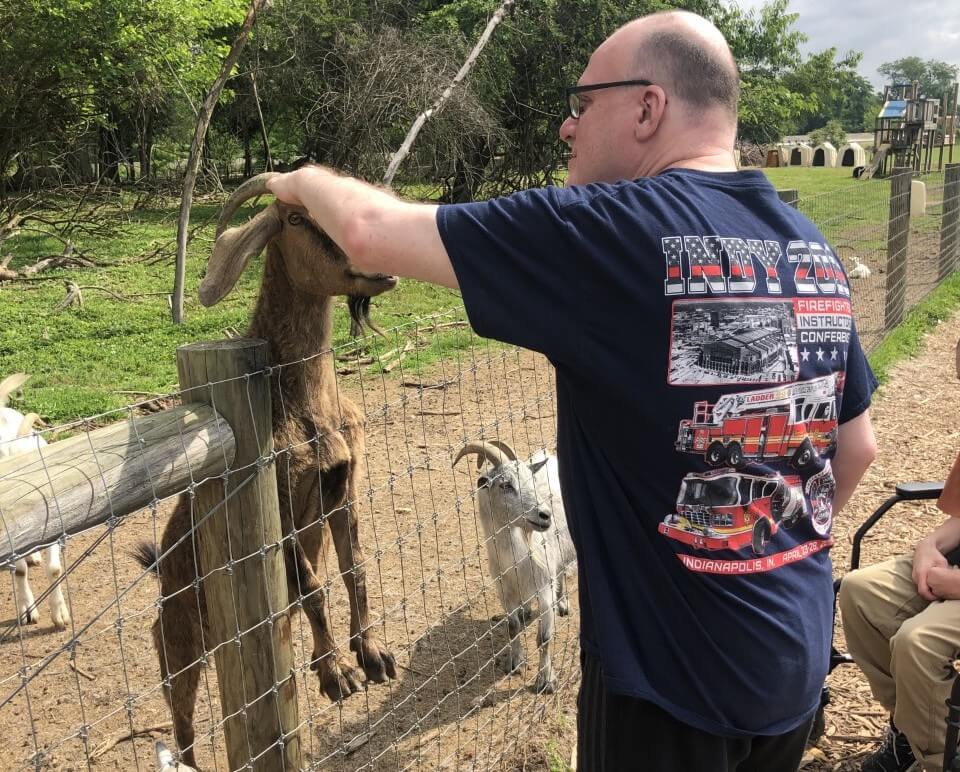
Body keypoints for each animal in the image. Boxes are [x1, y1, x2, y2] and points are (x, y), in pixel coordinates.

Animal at [135, 175, 398, 772]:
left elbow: (354, 569)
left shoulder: (344, 484)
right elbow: (313, 588)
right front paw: (337, 676)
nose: (378, 264)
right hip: (179, 643)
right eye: (296, 219)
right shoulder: (278, 494)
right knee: (182, 719)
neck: (306, 407)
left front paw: (371, 655)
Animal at [454, 440, 572, 692]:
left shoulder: (544, 588)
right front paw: (515, 662)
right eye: (505, 485)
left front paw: (545, 680)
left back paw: (563, 602)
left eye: (530, 479)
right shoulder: (504, 590)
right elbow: (512, 626)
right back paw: (526, 609)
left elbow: (544, 638)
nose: (545, 515)